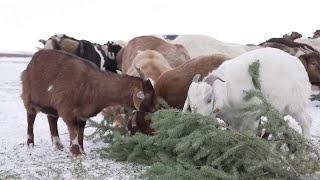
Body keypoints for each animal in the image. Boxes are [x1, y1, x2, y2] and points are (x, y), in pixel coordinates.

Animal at [20, 49, 158, 156]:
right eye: (149, 94)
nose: (155, 107)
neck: (91, 85)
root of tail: (31, 61)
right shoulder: (68, 111)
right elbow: (74, 132)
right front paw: (76, 153)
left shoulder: (82, 114)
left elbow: (81, 132)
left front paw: (82, 151)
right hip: (28, 98)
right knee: (30, 118)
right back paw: (30, 144)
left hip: (51, 105)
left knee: (51, 119)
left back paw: (58, 144)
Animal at [184, 47, 312, 137]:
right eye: (190, 102)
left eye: (209, 99)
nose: (196, 121)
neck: (227, 88)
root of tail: (299, 65)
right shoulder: (234, 118)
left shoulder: (254, 111)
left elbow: (250, 132)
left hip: (296, 104)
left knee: (307, 122)